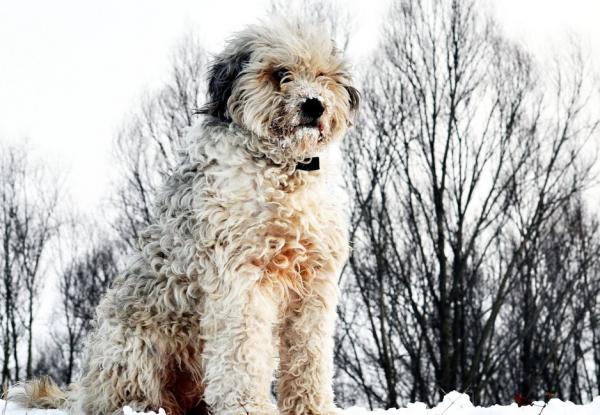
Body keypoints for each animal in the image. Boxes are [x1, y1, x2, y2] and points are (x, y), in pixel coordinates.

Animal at [9, 17, 358, 415]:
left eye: (323, 75)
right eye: (281, 73)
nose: (314, 104)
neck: (281, 170)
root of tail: (84, 389)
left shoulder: (314, 284)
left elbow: (309, 356)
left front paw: (313, 408)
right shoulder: (241, 281)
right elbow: (241, 354)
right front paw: (249, 407)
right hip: (134, 347)